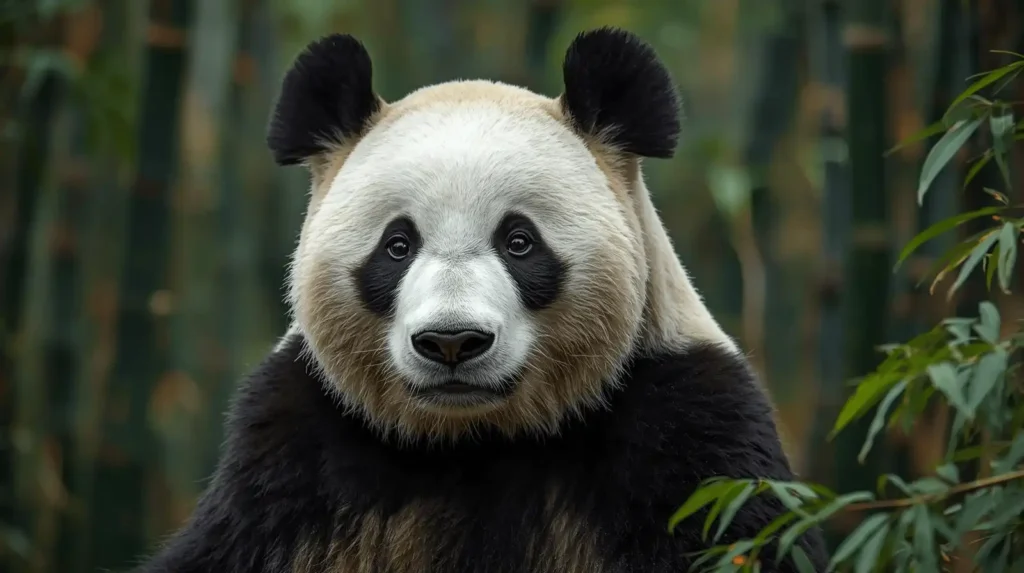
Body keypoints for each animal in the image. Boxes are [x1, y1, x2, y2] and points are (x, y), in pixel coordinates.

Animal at [135, 27, 828, 573]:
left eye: (519, 241)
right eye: (397, 245)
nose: (451, 342)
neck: (473, 438)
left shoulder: (687, 431)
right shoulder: (295, 458)